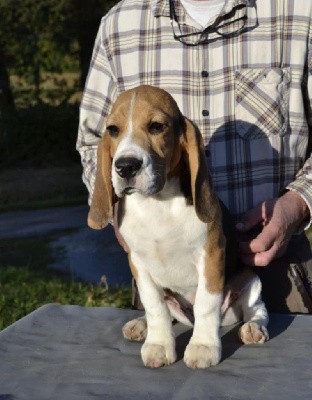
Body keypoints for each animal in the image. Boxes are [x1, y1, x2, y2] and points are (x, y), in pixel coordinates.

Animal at [88, 86, 268, 370]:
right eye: (113, 130)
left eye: (156, 126)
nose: (126, 166)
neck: (157, 203)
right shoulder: (138, 263)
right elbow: (154, 307)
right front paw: (159, 344)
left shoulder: (211, 256)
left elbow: (206, 303)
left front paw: (203, 346)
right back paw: (141, 325)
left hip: (250, 278)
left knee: (255, 308)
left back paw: (253, 327)